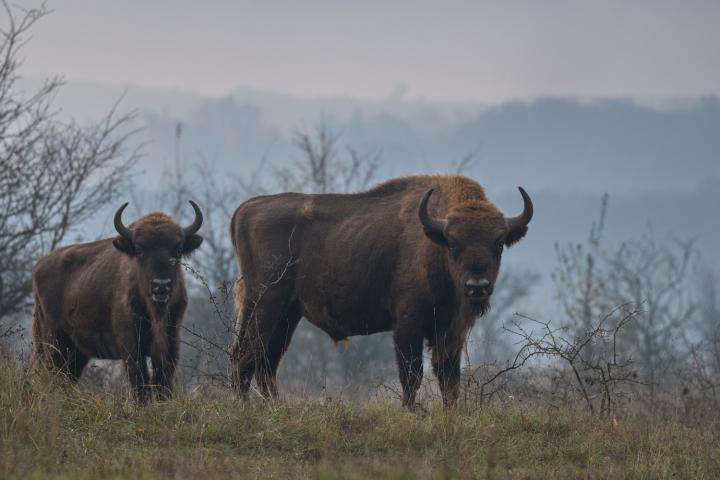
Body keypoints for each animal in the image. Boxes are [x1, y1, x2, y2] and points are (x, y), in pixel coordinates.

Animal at [31, 201, 203, 400]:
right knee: (54, 374)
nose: (161, 285)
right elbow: (140, 383)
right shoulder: (131, 347)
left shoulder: (171, 343)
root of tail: (39, 266)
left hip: (77, 351)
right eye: (139, 250)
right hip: (53, 340)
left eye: (179, 249)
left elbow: (163, 383)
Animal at [229, 174, 532, 408]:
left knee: (266, 361)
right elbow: (411, 376)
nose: (477, 286)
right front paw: (410, 412)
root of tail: (247, 208)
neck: (434, 243)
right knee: (246, 354)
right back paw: (245, 408)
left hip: (288, 314)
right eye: (454, 243)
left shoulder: (449, 332)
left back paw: (273, 407)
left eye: (499, 243)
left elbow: (449, 379)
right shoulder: (408, 326)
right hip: (265, 304)